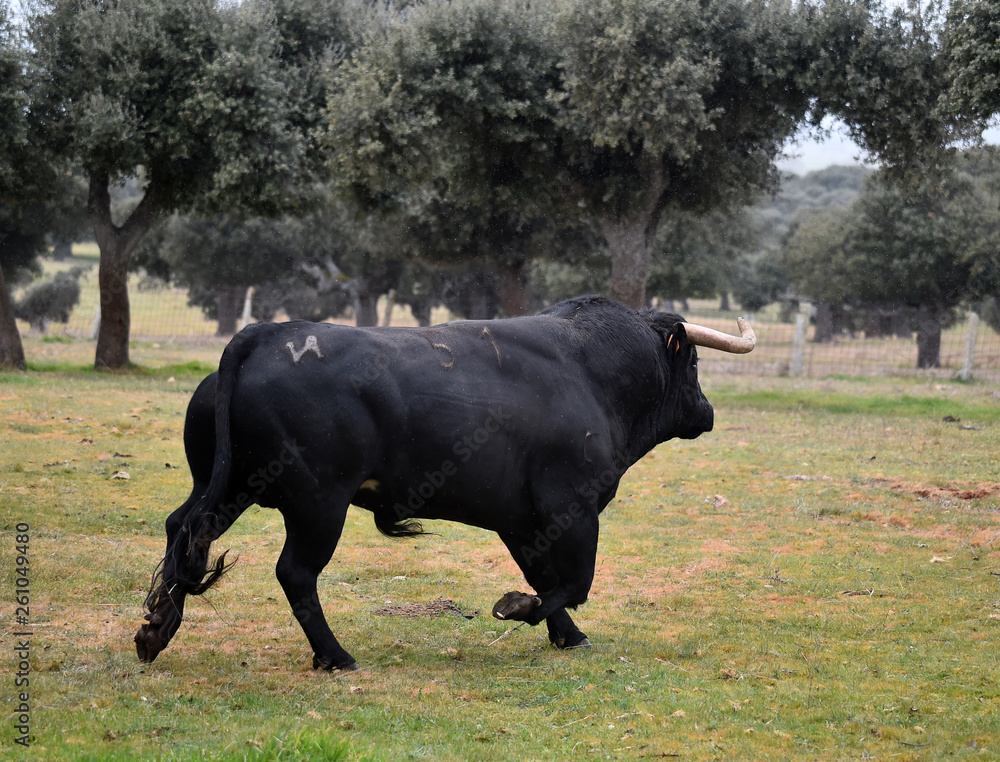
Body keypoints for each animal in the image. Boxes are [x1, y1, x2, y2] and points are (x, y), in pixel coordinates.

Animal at [137, 294, 752, 668]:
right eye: (694, 364)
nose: (707, 412)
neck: (591, 372)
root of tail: (267, 334)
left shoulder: (520, 518)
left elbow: (548, 577)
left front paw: (565, 634)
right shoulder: (571, 507)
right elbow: (575, 581)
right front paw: (520, 609)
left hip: (227, 487)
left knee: (185, 531)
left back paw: (156, 628)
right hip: (319, 504)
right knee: (294, 573)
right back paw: (336, 656)